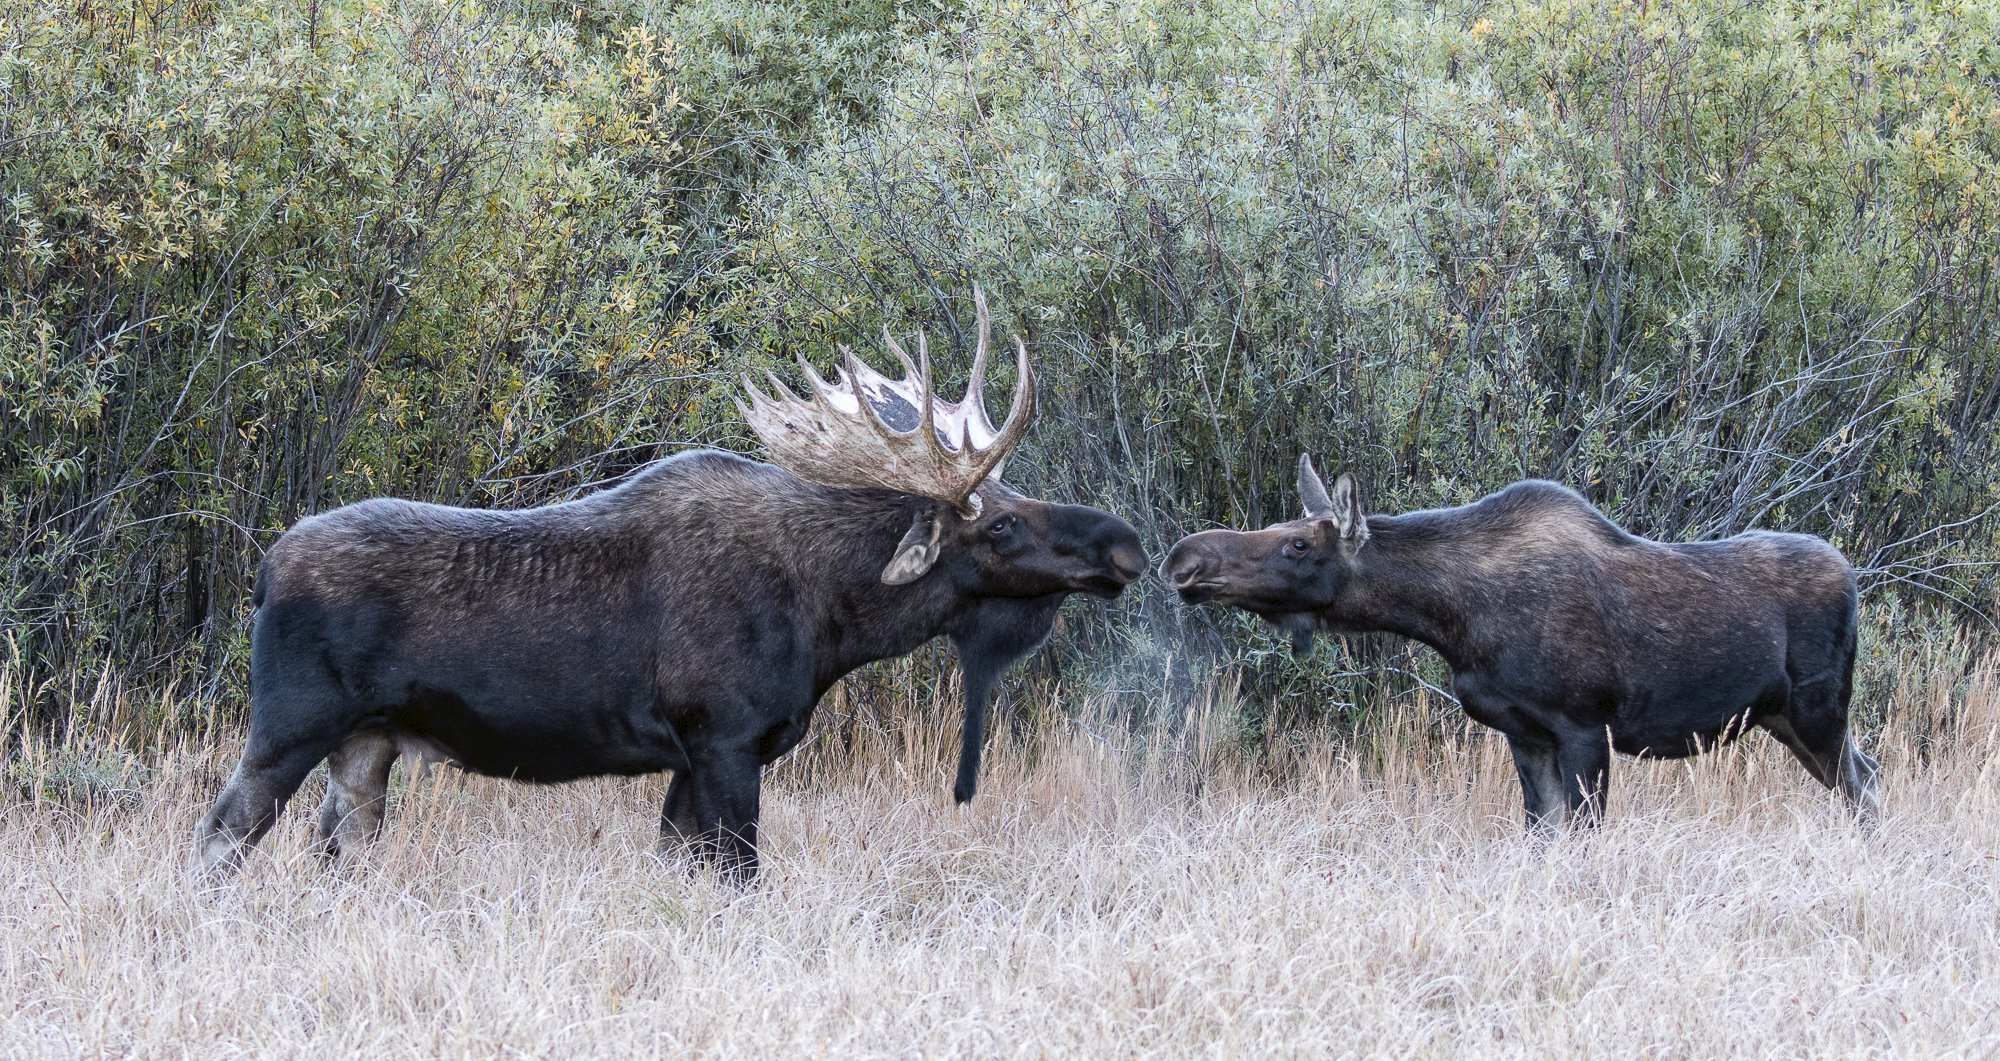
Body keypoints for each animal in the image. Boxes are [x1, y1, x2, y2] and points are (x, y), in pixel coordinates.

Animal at [199, 288, 1160, 876]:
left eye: (1014, 495)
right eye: (999, 523)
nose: (1125, 544)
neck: (831, 622)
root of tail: (263, 572)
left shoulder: (696, 757)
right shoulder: (723, 736)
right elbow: (740, 876)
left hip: (367, 748)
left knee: (332, 849)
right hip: (289, 725)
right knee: (220, 833)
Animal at [1168, 458, 1880, 828]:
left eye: (1296, 544)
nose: (1184, 560)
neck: (1454, 622)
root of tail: (1854, 578)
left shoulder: (1584, 726)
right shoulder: (1524, 732)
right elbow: (1543, 831)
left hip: (1818, 710)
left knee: (1863, 783)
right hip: (1784, 719)